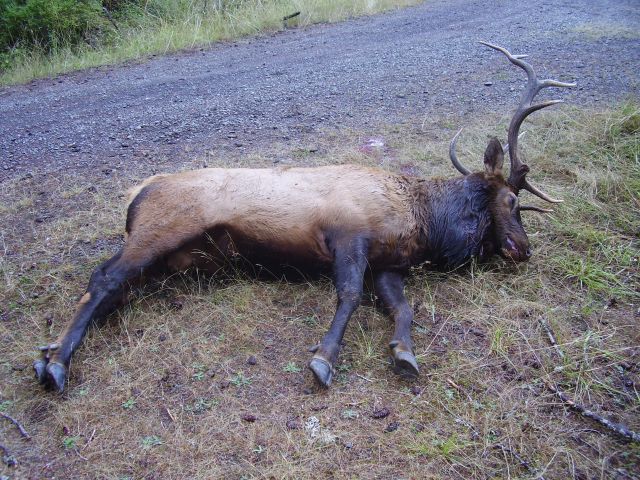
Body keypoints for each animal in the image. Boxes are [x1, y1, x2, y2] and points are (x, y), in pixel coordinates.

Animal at [33, 43, 575, 393]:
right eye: (512, 202)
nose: (523, 249)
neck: (422, 221)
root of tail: (136, 195)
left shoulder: (389, 264)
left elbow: (403, 308)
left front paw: (404, 353)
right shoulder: (348, 235)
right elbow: (349, 296)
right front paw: (323, 359)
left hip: (171, 259)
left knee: (117, 287)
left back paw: (48, 351)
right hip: (163, 227)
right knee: (104, 276)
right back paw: (57, 363)